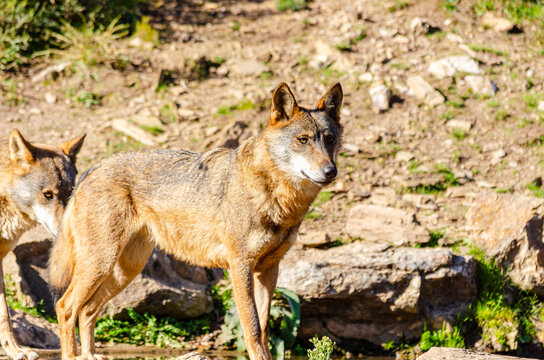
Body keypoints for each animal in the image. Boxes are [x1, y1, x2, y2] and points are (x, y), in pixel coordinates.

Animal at [47, 83, 344, 360]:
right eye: (303, 140)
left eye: (330, 139)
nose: (331, 171)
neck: (274, 195)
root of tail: (92, 168)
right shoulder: (240, 267)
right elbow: (252, 330)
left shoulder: (269, 270)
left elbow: (263, 329)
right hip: (100, 264)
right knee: (65, 307)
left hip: (126, 270)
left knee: (87, 310)